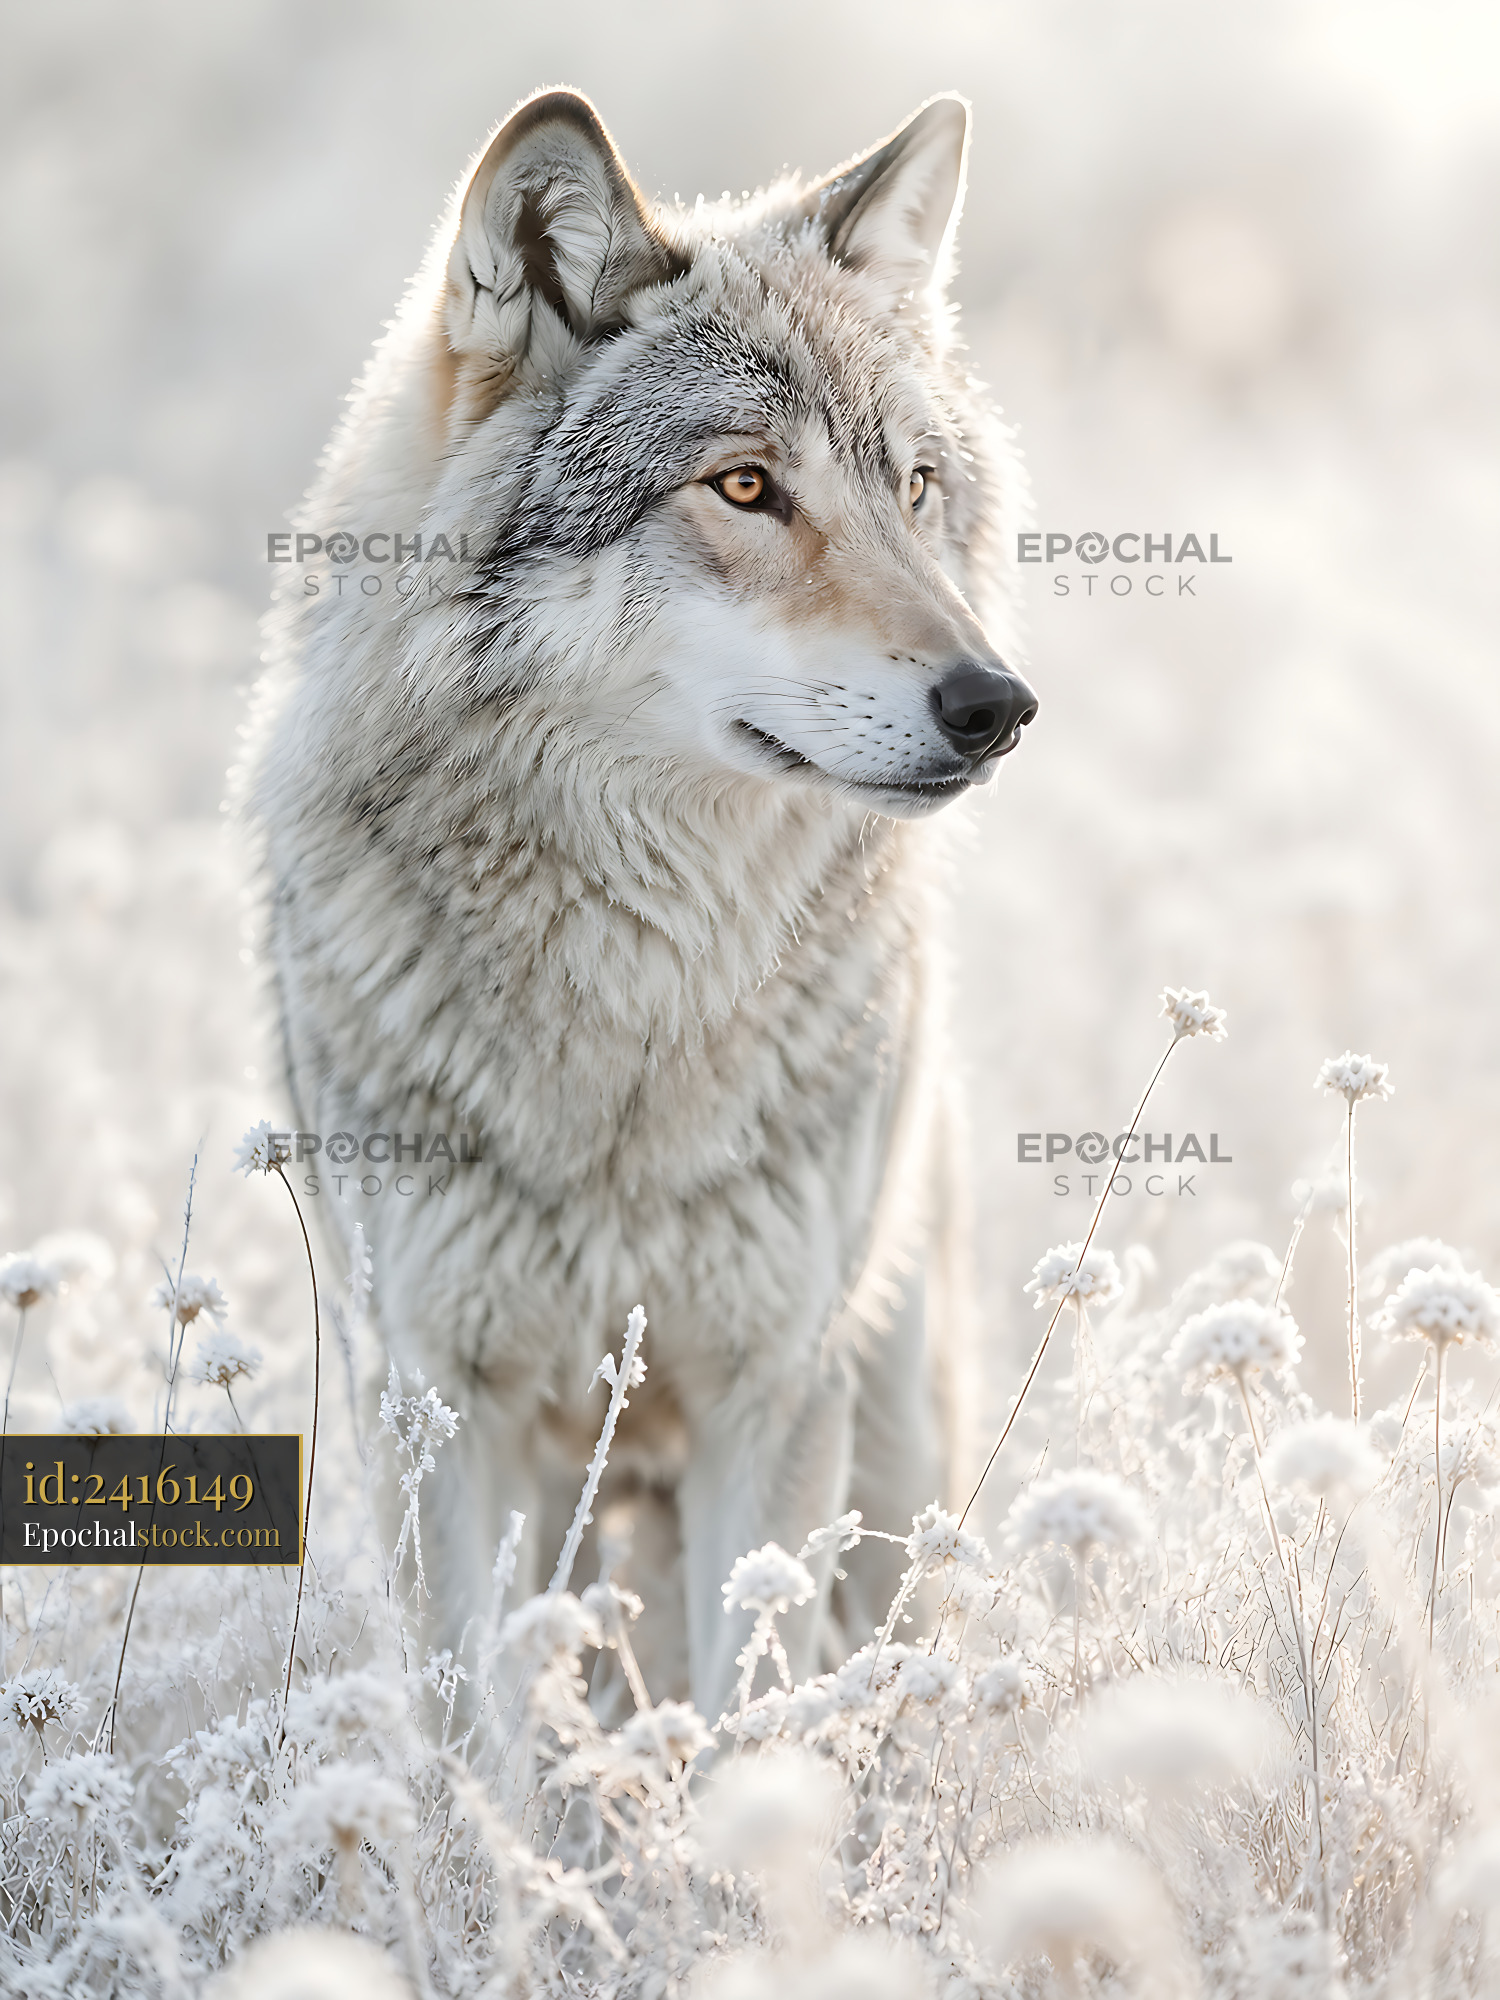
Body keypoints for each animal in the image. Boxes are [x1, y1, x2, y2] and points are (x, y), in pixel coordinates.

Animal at [249, 86, 1036, 1722]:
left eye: (915, 486)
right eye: (744, 485)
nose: (997, 705)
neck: (637, 993)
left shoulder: (770, 1393)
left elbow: (753, 1725)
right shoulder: (438, 1407)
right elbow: (474, 1745)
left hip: (889, 1430)